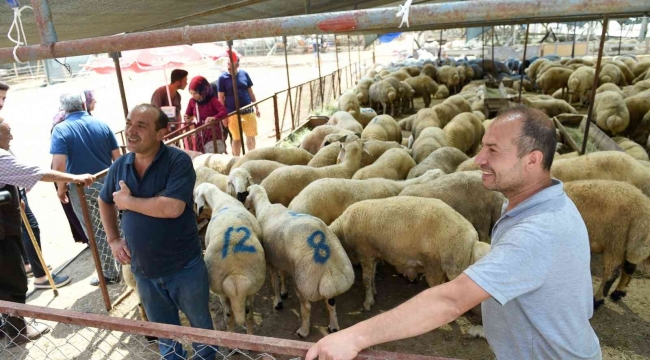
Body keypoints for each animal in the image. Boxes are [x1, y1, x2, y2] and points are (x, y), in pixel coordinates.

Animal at [192, 183, 266, 334]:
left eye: (196, 193)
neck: (220, 199)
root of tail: (235, 275)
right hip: (251, 287)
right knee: (248, 314)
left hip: (219, 289)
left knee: (229, 315)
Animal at [332, 195, 488, 310]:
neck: (342, 227)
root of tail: (473, 237)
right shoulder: (373, 254)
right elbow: (372, 276)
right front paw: (374, 293)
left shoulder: (364, 253)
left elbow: (366, 279)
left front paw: (368, 302)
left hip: (445, 265)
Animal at [560, 180, 648, 310]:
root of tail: (643, 209)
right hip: (633, 242)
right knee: (629, 267)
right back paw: (618, 293)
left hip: (616, 240)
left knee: (611, 273)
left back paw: (597, 300)